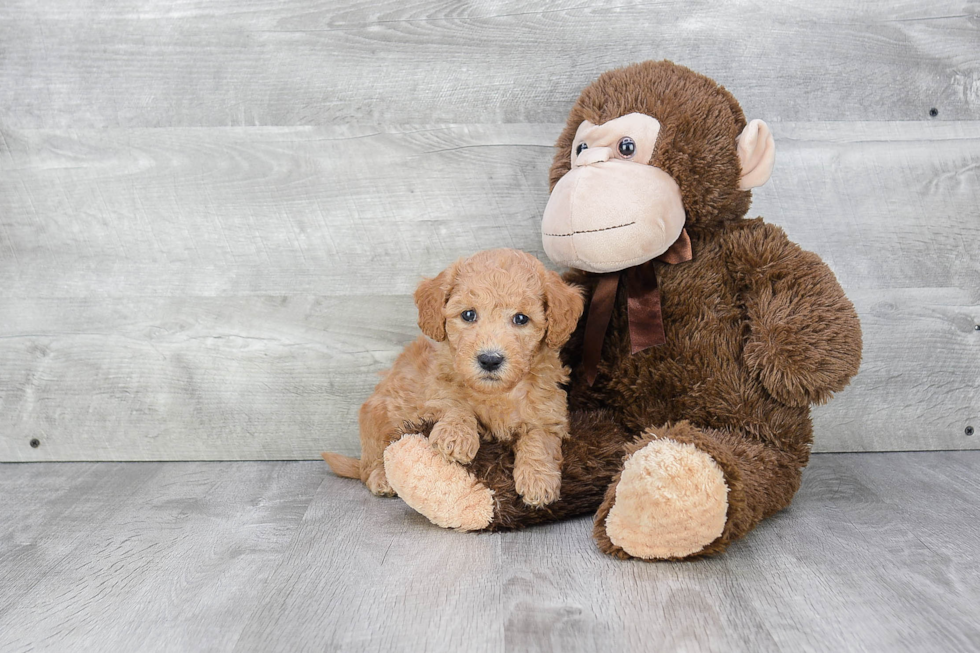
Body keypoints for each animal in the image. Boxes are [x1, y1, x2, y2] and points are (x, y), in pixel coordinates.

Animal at [324, 247, 580, 506]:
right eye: (468, 315)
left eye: (521, 319)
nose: (489, 359)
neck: (496, 393)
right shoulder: (435, 390)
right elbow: (453, 403)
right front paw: (456, 436)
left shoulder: (548, 413)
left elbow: (540, 438)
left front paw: (538, 479)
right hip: (379, 416)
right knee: (372, 461)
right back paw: (381, 478)